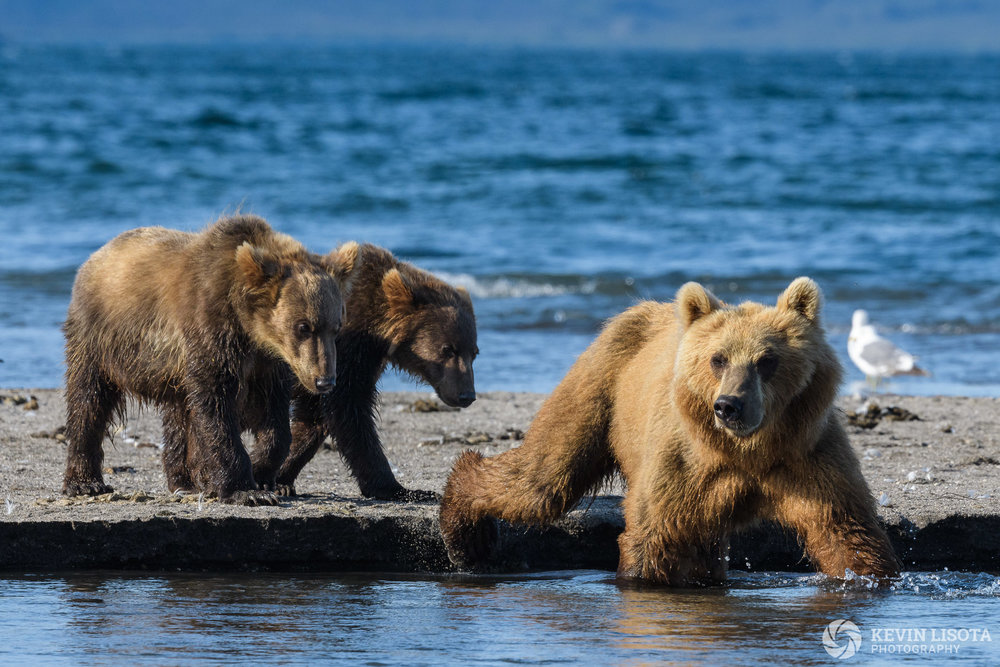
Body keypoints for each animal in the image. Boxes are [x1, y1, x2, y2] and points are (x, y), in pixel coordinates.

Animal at [61, 217, 360, 504]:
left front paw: (262, 474)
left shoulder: (265, 363)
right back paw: (85, 482)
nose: (324, 380)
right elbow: (215, 405)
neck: (248, 326)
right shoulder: (211, 331)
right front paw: (246, 490)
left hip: (173, 370)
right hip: (100, 338)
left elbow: (274, 418)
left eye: (336, 326)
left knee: (179, 413)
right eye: (303, 326)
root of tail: (97, 255)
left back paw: (185, 481)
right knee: (89, 400)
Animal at [270, 245, 480, 500]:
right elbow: (350, 408)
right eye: (448, 349)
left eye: (474, 352)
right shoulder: (345, 348)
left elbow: (314, 418)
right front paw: (400, 488)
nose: (466, 395)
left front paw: (281, 477)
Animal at [438, 276, 900, 584]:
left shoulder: (807, 459)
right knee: (544, 477)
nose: (728, 406)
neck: (747, 451)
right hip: (597, 390)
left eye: (766, 359)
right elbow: (654, 536)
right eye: (718, 358)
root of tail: (643, 309)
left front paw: (873, 576)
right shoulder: (683, 463)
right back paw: (466, 530)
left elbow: (847, 532)